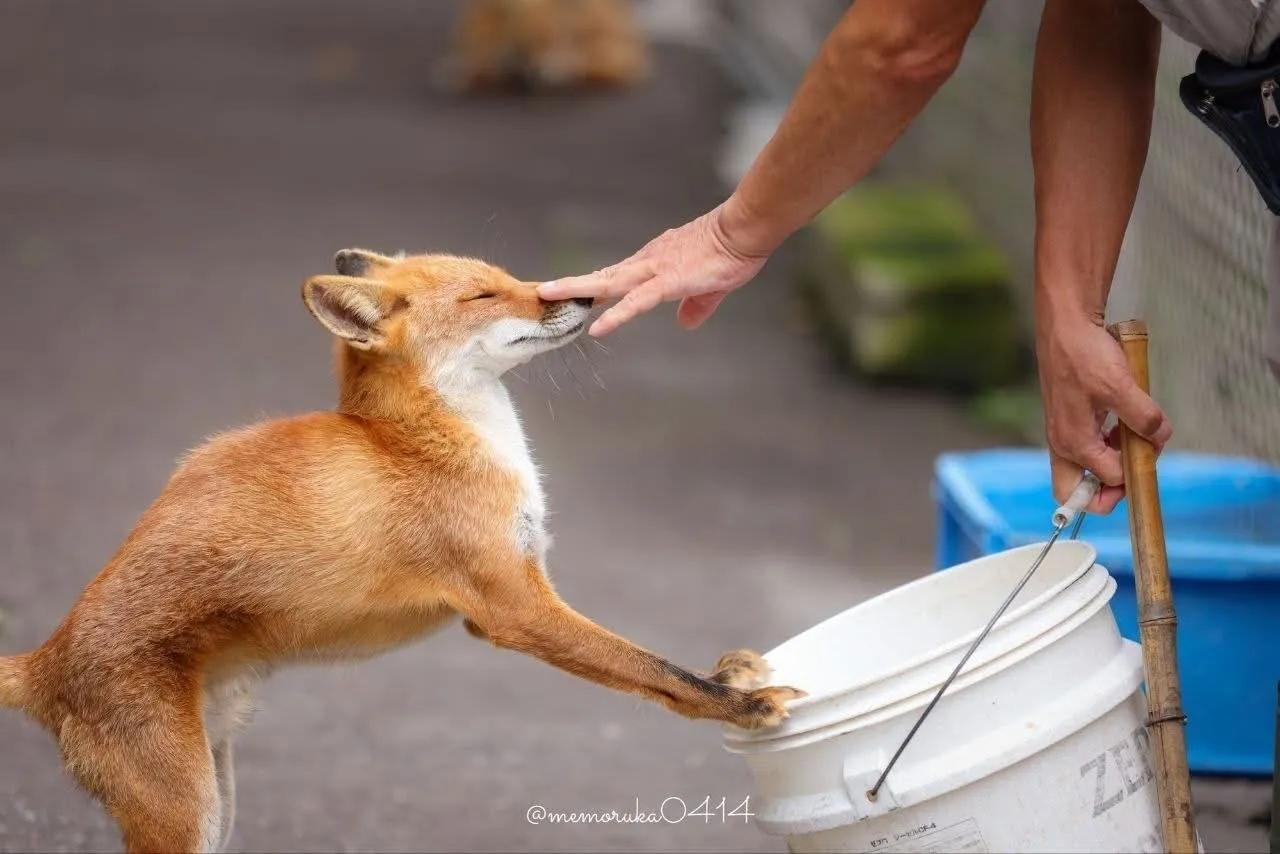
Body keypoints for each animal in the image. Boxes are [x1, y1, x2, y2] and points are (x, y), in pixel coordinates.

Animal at [0, 250, 805, 854]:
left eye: (509, 274)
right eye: (486, 294)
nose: (579, 292)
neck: (426, 439)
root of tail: (43, 659)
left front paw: (735, 675)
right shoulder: (513, 607)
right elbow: (654, 670)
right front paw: (744, 705)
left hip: (218, 803)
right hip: (186, 816)